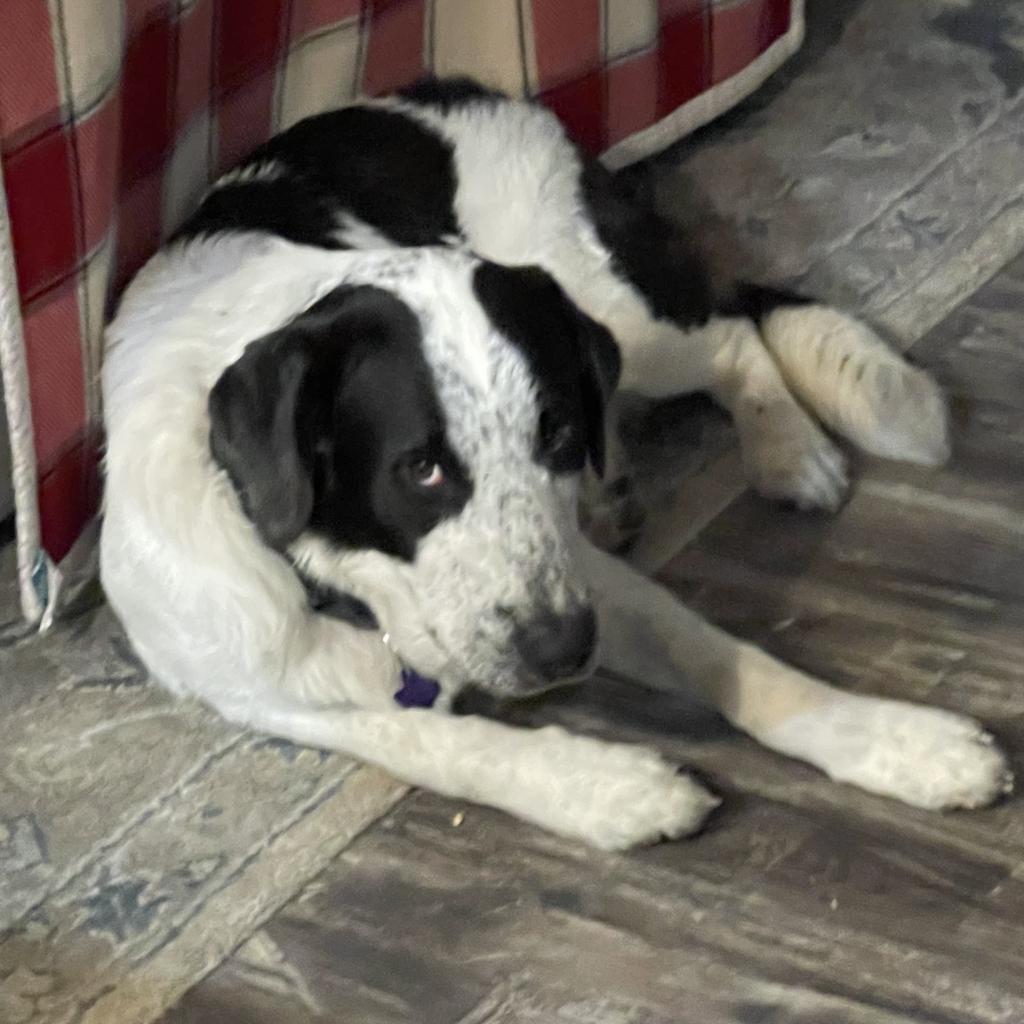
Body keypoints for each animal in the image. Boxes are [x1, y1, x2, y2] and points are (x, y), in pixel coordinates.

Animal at [99, 77, 1011, 847]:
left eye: (558, 436)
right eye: (421, 470)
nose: (566, 652)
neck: (349, 580)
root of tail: (467, 89)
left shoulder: (581, 580)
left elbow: (721, 651)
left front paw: (897, 741)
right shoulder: (269, 694)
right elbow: (446, 744)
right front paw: (612, 789)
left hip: (616, 311)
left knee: (731, 336)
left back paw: (786, 450)